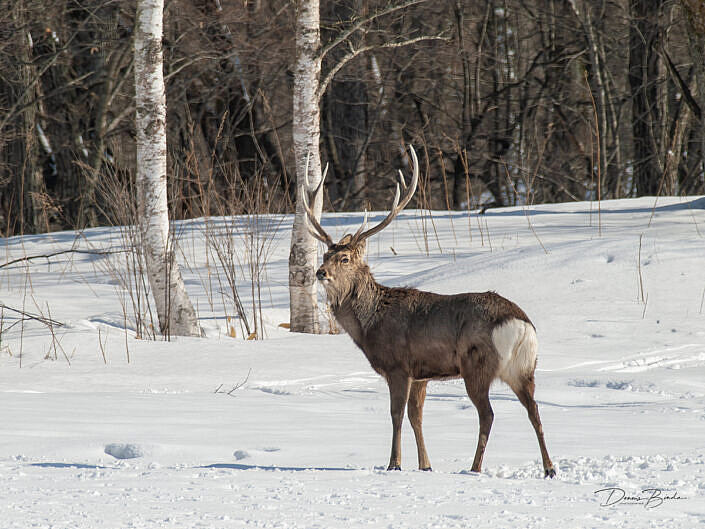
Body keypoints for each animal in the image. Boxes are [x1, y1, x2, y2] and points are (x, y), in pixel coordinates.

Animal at [302, 146, 556, 476]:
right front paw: (426, 466)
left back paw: (475, 467)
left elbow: (396, 415)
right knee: (534, 409)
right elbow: (416, 417)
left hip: (477, 363)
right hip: (523, 368)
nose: (320, 272)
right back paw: (549, 468)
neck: (370, 322)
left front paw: (394, 464)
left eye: (344, 259)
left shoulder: (398, 365)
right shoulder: (421, 373)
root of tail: (521, 324)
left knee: (488, 414)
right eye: (324, 255)